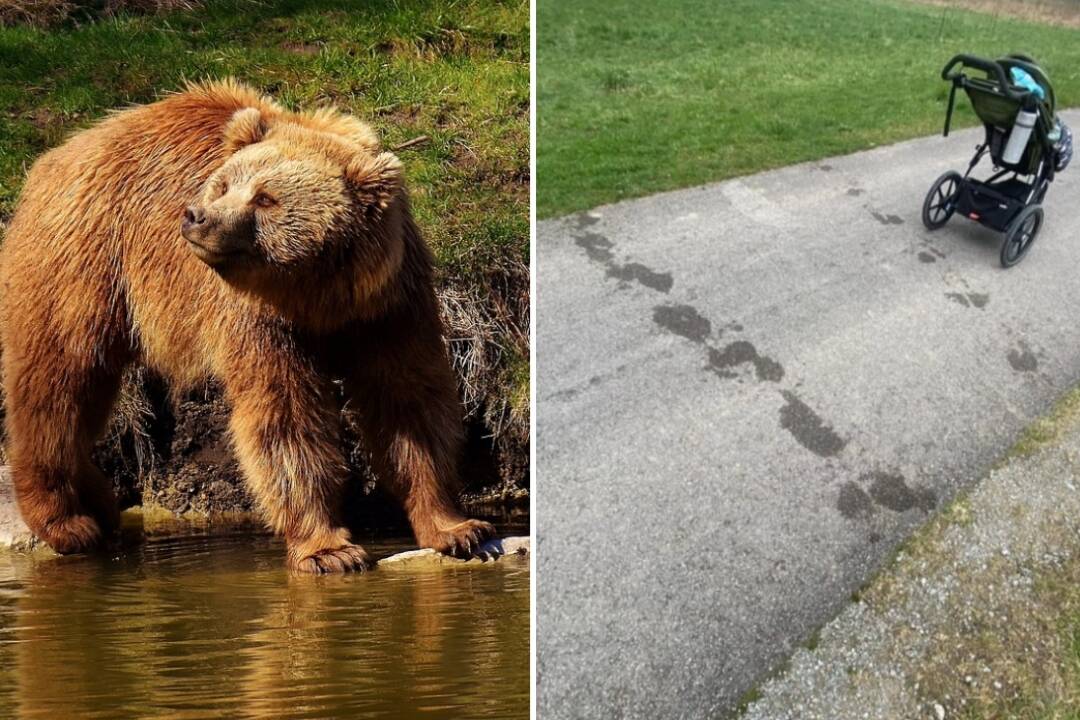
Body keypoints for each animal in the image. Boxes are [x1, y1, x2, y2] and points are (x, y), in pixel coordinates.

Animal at [0, 80, 494, 574]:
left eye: (265, 198)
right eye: (223, 184)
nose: (196, 216)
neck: (319, 295)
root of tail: (52, 159)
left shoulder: (387, 305)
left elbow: (409, 404)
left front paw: (457, 528)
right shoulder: (259, 318)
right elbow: (284, 417)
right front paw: (329, 549)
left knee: (86, 395)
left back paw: (99, 501)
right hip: (85, 264)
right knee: (59, 383)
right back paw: (65, 521)